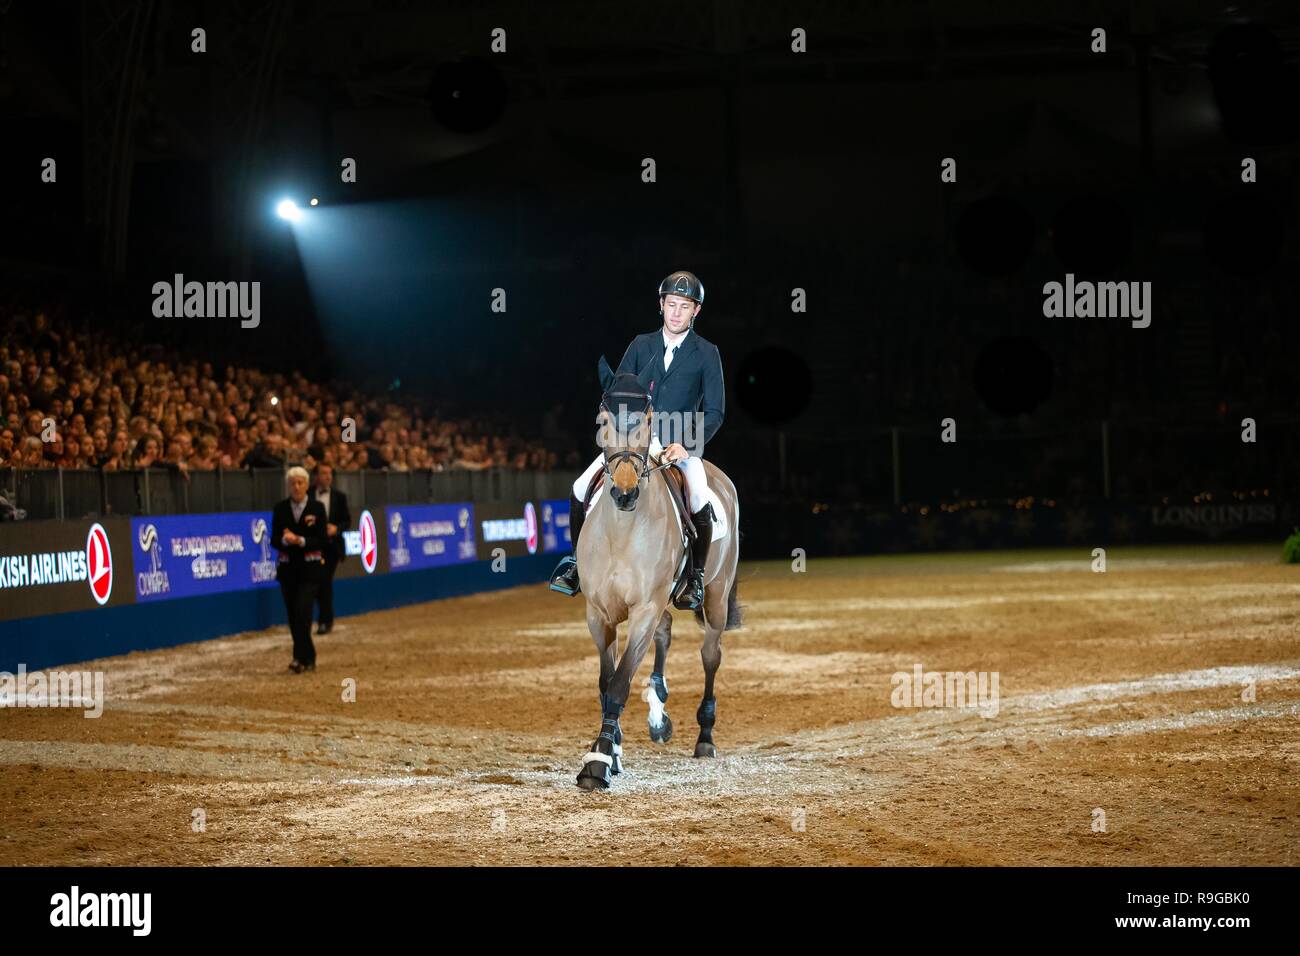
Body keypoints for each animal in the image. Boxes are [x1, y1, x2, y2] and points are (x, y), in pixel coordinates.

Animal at [572, 374, 743, 790]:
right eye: (603, 419)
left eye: (649, 421)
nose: (624, 493)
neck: (621, 531)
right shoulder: (599, 614)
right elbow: (605, 683)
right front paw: (611, 751)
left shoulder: (644, 610)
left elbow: (619, 682)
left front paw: (598, 764)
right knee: (665, 635)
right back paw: (658, 711)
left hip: (715, 598)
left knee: (710, 655)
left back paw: (705, 736)